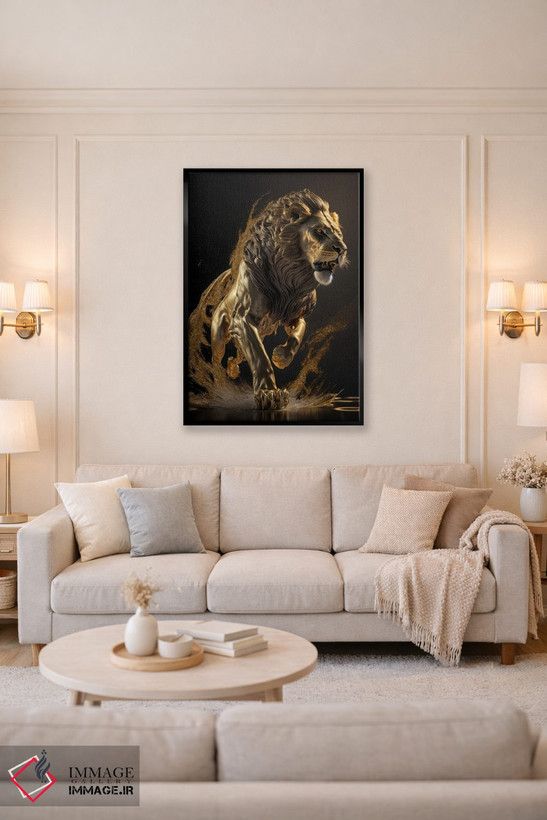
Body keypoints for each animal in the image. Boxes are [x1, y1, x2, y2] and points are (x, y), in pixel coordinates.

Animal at [208, 188, 348, 410]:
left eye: (339, 234)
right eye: (319, 231)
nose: (342, 249)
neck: (291, 276)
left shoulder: (295, 316)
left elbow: (298, 334)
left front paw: (281, 357)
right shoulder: (244, 318)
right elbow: (259, 356)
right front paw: (268, 393)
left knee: (236, 356)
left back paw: (233, 370)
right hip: (220, 334)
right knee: (216, 359)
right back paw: (219, 385)